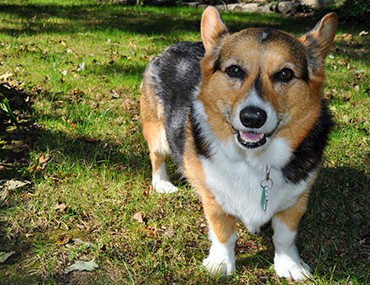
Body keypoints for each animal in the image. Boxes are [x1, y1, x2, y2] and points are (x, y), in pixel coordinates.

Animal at [140, 6, 336, 280]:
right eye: (234, 70)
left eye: (285, 74)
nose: (252, 117)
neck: (255, 160)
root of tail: (173, 46)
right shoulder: (214, 199)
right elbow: (224, 234)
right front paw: (221, 264)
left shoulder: (296, 200)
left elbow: (285, 236)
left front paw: (290, 265)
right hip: (158, 132)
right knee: (156, 156)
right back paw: (163, 184)